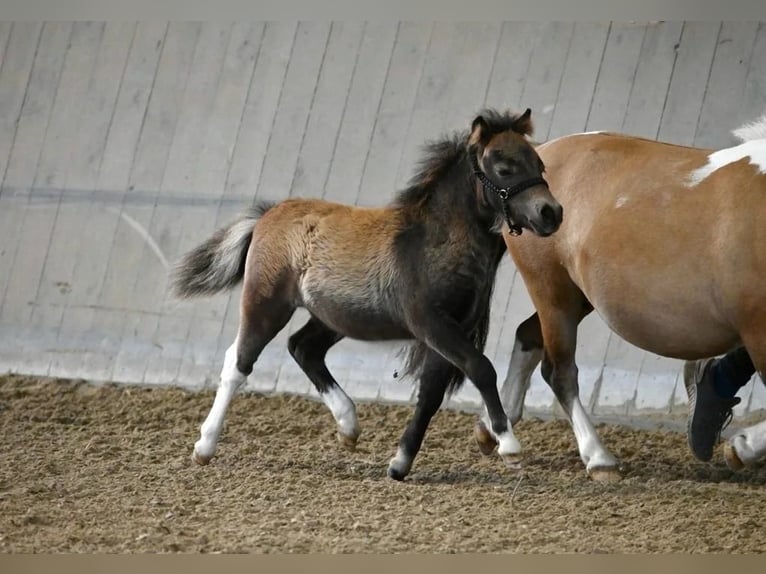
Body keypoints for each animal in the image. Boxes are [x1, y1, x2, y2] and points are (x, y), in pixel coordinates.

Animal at [172, 108, 564, 482]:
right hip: (266, 303)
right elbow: (481, 369)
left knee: (303, 347)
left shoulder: (453, 329)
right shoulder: (431, 324)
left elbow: (431, 393)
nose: (551, 212)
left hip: (332, 317)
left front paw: (400, 464)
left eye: (540, 165)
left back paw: (348, 427)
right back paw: (204, 446)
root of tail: (269, 214)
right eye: (504, 168)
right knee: (238, 362)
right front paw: (509, 445)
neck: (432, 242)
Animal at [476, 112, 766, 482]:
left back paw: (494, 429)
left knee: (527, 336)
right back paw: (598, 458)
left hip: (575, 297)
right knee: (558, 370)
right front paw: (742, 447)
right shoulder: (757, 328)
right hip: (550, 288)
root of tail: (546, 150)